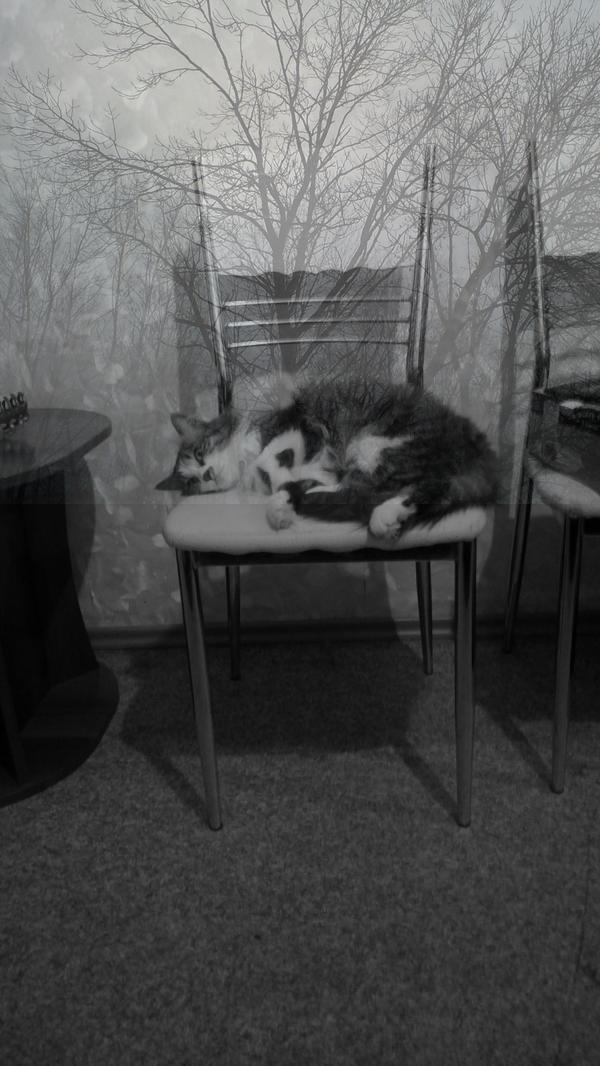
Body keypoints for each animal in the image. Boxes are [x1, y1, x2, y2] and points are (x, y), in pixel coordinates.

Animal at [157, 379, 498, 538]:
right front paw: (281, 506)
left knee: (412, 487)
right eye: (192, 482)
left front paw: (280, 483)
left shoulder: (303, 425)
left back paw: (384, 516)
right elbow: (290, 483)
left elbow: (269, 458)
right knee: (360, 489)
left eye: (200, 453)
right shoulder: (321, 467)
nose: (207, 475)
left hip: (376, 441)